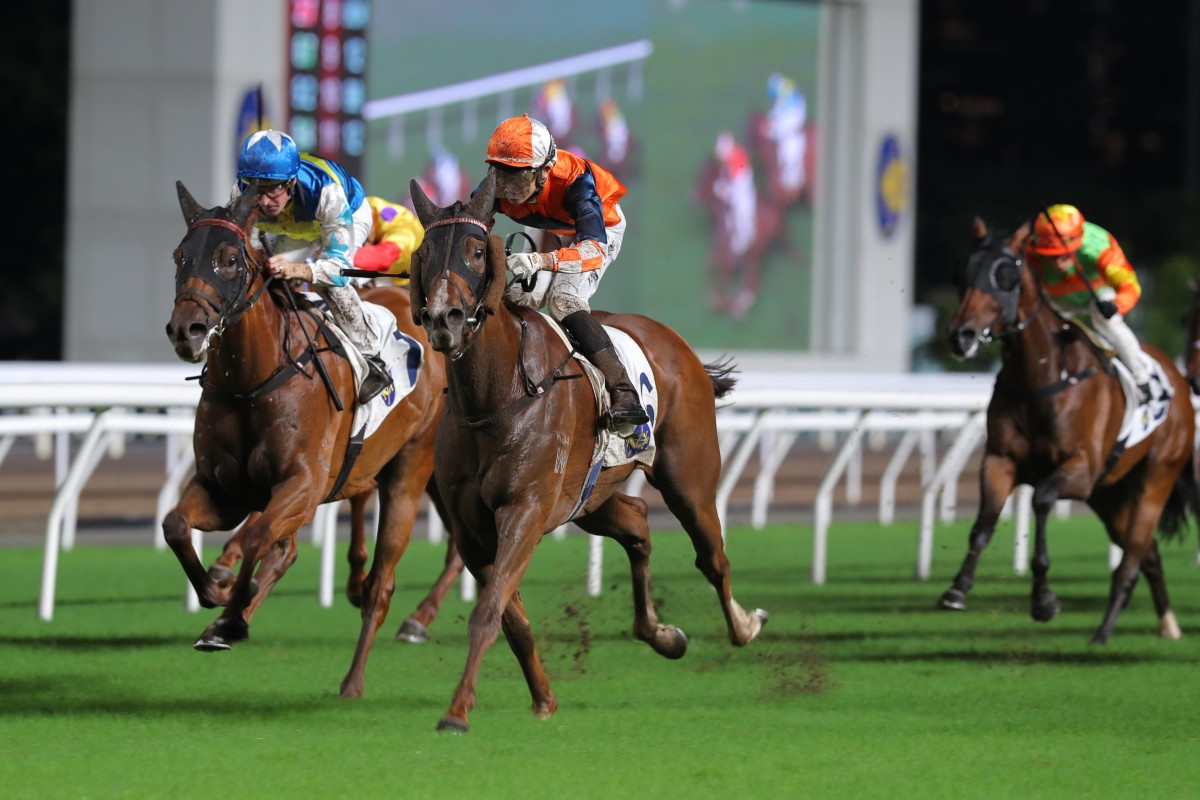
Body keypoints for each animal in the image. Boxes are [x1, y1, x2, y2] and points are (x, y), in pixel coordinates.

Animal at [166, 183, 460, 695]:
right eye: (181, 255)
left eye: (229, 259)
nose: (187, 330)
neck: (251, 381)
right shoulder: (224, 489)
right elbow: (177, 525)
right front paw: (215, 595)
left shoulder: (303, 485)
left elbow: (260, 537)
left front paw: (231, 613)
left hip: (412, 470)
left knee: (384, 583)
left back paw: (360, 673)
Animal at [408, 172, 768, 734]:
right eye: (424, 252)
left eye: (475, 249)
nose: (445, 318)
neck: (496, 396)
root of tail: (677, 345)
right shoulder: (472, 530)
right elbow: (511, 618)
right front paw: (543, 699)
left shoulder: (525, 512)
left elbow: (487, 613)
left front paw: (456, 711)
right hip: (589, 498)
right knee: (638, 522)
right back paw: (661, 634)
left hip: (688, 479)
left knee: (712, 556)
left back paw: (743, 625)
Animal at [940, 217, 1195, 642]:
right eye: (966, 272)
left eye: (1006, 276)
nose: (961, 336)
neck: (1042, 377)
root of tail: (1179, 377)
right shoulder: (1000, 461)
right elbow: (983, 524)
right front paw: (957, 589)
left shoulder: (1081, 469)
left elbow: (1042, 500)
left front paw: (1044, 600)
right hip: (1109, 493)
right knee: (1147, 553)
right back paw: (1166, 625)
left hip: (1155, 477)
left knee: (1134, 554)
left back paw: (1103, 635)